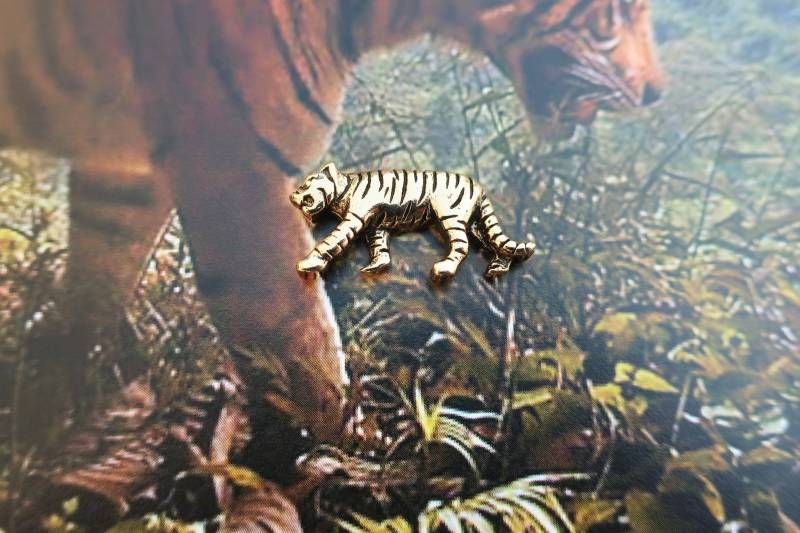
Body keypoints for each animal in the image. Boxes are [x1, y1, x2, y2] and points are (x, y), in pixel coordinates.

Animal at [291, 162, 535, 280]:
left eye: (306, 183)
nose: (293, 196)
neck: (343, 189)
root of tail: (478, 186)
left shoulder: (354, 219)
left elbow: (329, 242)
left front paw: (309, 263)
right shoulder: (376, 227)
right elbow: (380, 249)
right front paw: (376, 266)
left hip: (451, 216)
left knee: (462, 246)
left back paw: (444, 269)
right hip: (475, 224)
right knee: (495, 244)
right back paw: (497, 269)